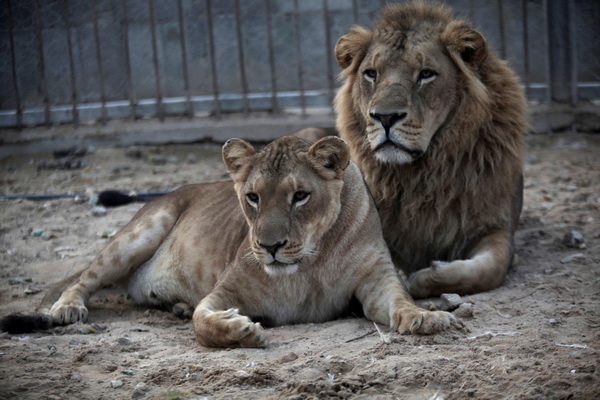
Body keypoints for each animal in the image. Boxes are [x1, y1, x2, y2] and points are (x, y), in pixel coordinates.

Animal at [1, 137, 460, 346]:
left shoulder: (376, 278)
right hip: (140, 231)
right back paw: (67, 309)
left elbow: (399, 300)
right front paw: (241, 330)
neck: (311, 260)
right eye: (252, 197)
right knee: (85, 279)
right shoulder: (222, 290)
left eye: (300, 196)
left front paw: (425, 317)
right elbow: (202, 322)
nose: (271, 247)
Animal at [332, 2, 524, 296]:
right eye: (371, 73)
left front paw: (425, 276)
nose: (385, 117)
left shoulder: (496, 223)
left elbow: (489, 269)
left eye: (425, 74)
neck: (423, 174)